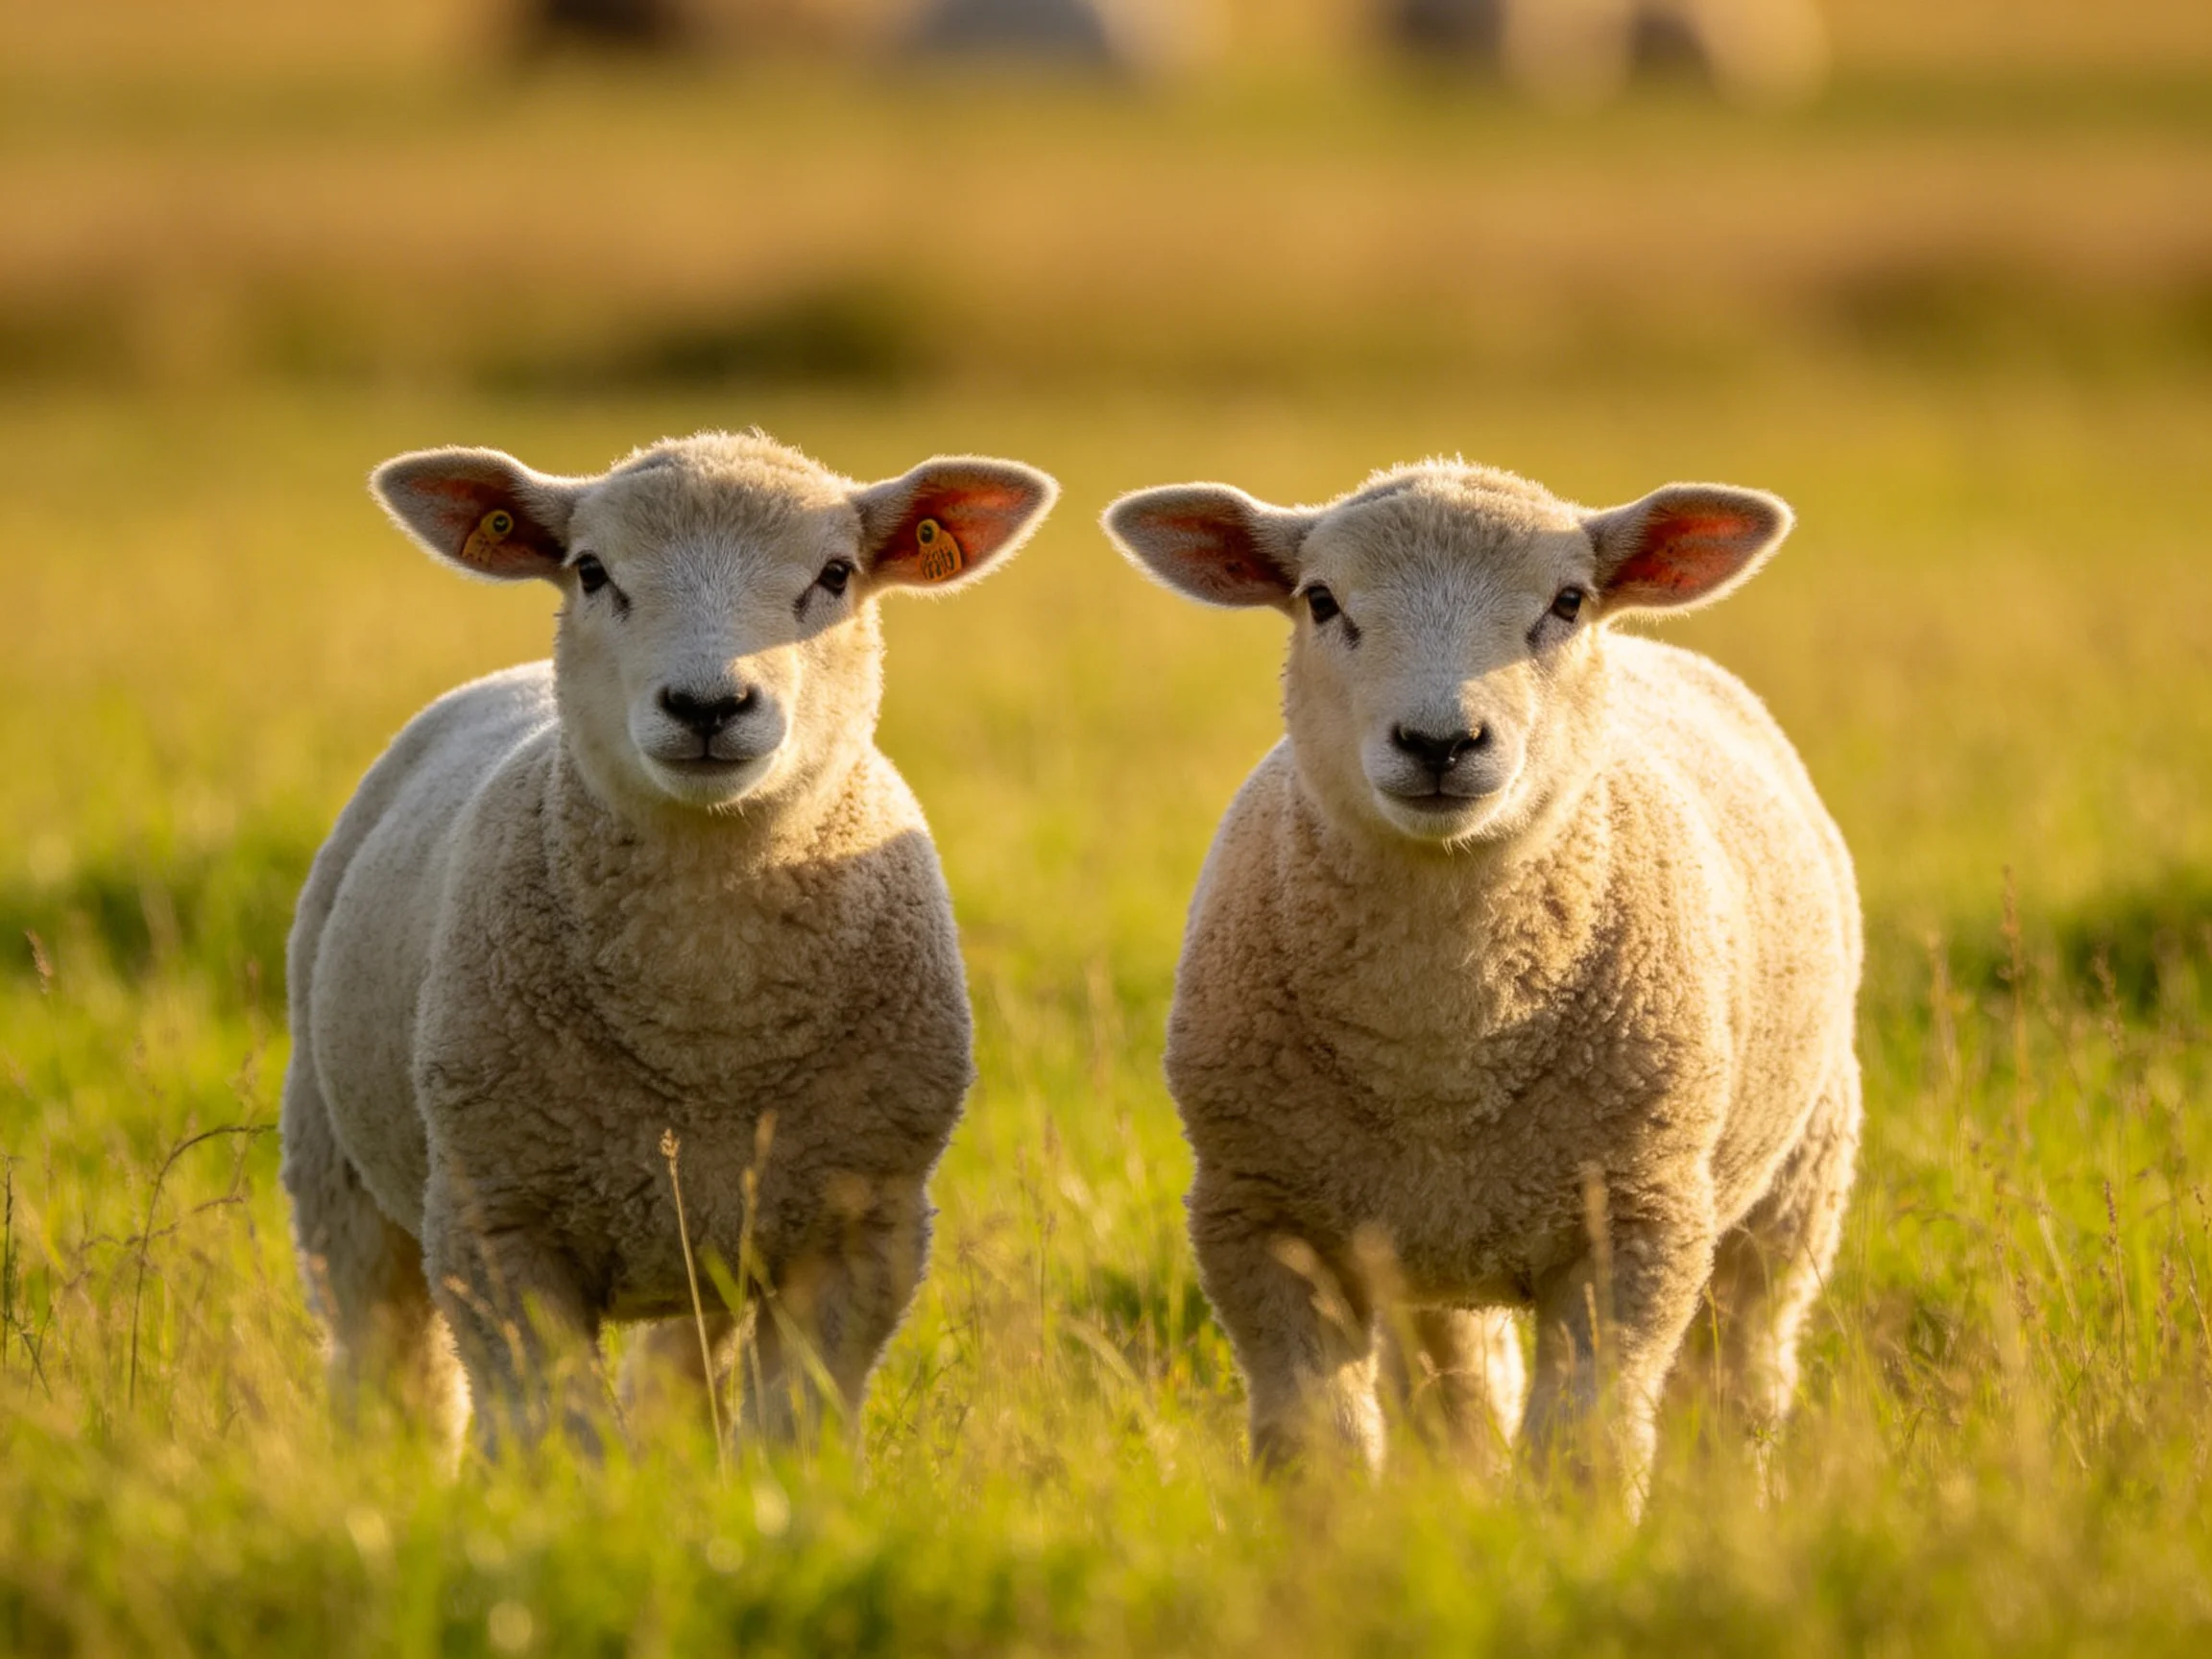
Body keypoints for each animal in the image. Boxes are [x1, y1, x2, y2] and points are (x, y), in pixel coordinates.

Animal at [279, 430, 1058, 1452]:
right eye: (591, 571)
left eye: (836, 574)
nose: (707, 705)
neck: (706, 1029)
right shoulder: (496, 1223)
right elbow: (557, 1434)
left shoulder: (863, 1230)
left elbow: (793, 1430)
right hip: (338, 1165)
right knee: (386, 1364)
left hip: (707, 1243)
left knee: (669, 1383)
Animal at [1104, 460, 1860, 1497]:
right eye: (1321, 600)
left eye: (1568, 602)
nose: (1439, 742)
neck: (1441, 1048)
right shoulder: (1259, 1221)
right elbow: (1319, 1453)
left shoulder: (1637, 1222)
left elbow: (1585, 1451)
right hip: (1426, 1244)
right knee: (1458, 1388)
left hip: (1800, 1167)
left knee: (1741, 1373)